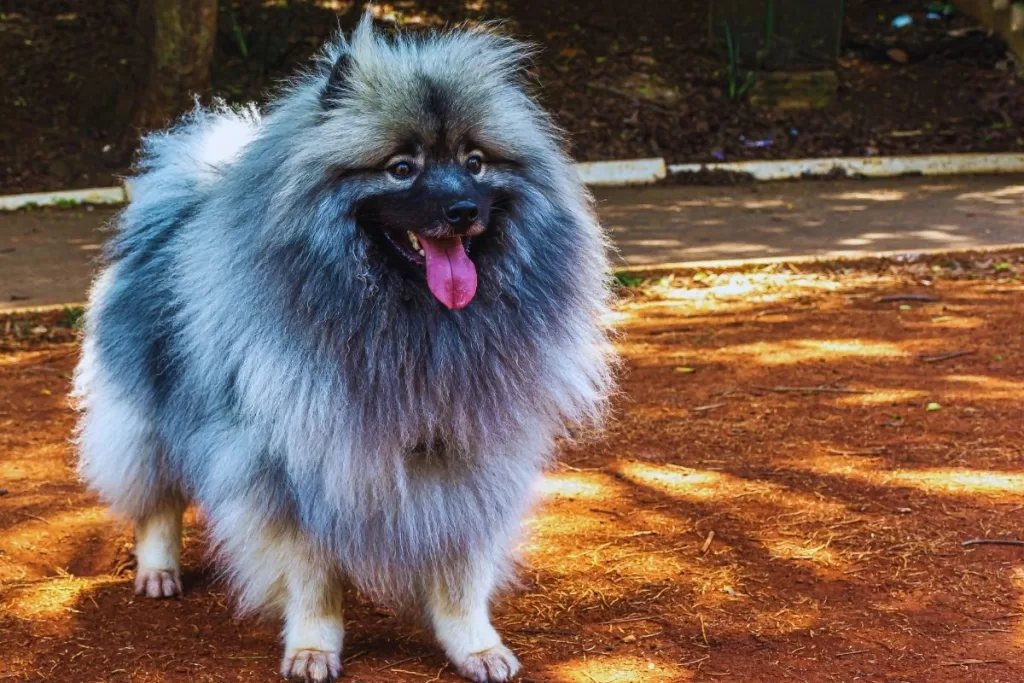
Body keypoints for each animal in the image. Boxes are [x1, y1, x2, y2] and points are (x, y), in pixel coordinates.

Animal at [74, 12, 614, 683]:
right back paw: (158, 570)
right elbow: (310, 573)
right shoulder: (288, 466)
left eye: (475, 162)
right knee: (157, 499)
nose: (462, 209)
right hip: (144, 415)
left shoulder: (468, 454)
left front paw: (474, 645)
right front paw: (312, 646)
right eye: (401, 168)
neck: (410, 324)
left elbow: (460, 566)